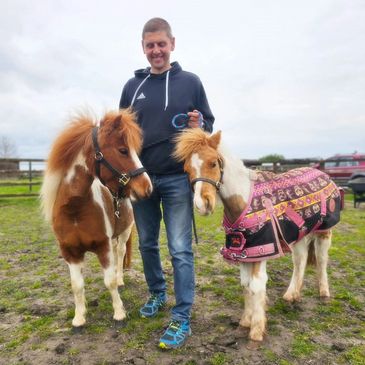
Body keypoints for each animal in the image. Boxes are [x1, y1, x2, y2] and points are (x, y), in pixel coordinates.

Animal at [40, 108, 151, 328]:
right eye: (123, 150)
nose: (147, 187)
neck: (75, 210)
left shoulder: (103, 246)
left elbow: (109, 281)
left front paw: (119, 313)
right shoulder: (70, 252)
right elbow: (76, 285)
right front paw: (79, 318)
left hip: (124, 233)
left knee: (120, 253)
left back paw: (120, 279)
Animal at [172, 129, 340, 342]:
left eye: (213, 163)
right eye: (187, 169)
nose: (203, 205)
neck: (244, 201)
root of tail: (324, 174)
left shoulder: (261, 251)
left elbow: (256, 285)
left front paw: (256, 332)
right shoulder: (245, 252)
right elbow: (245, 285)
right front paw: (245, 322)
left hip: (324, 232)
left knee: (322, 259)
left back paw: (324, 293)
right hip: (300, 236)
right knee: (300, 261)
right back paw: (291, 295)